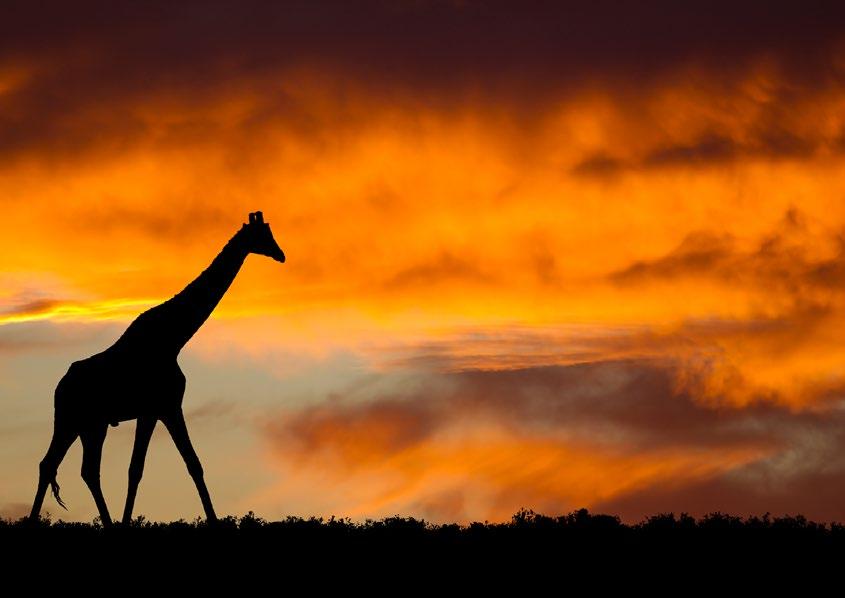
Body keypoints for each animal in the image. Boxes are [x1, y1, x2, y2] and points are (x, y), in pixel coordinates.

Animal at [28, 212, 286, 528]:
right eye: (263, 235)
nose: (281, 254)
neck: (173, 338)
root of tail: (59, 387)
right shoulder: (166, 407)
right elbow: (180, 465)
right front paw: (213, 521)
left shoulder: (155, 411)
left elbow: (148, 468)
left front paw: (126, 522)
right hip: (71, 420)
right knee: (56, 465)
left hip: (90, 424)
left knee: (77, 468)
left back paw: (103, 523)